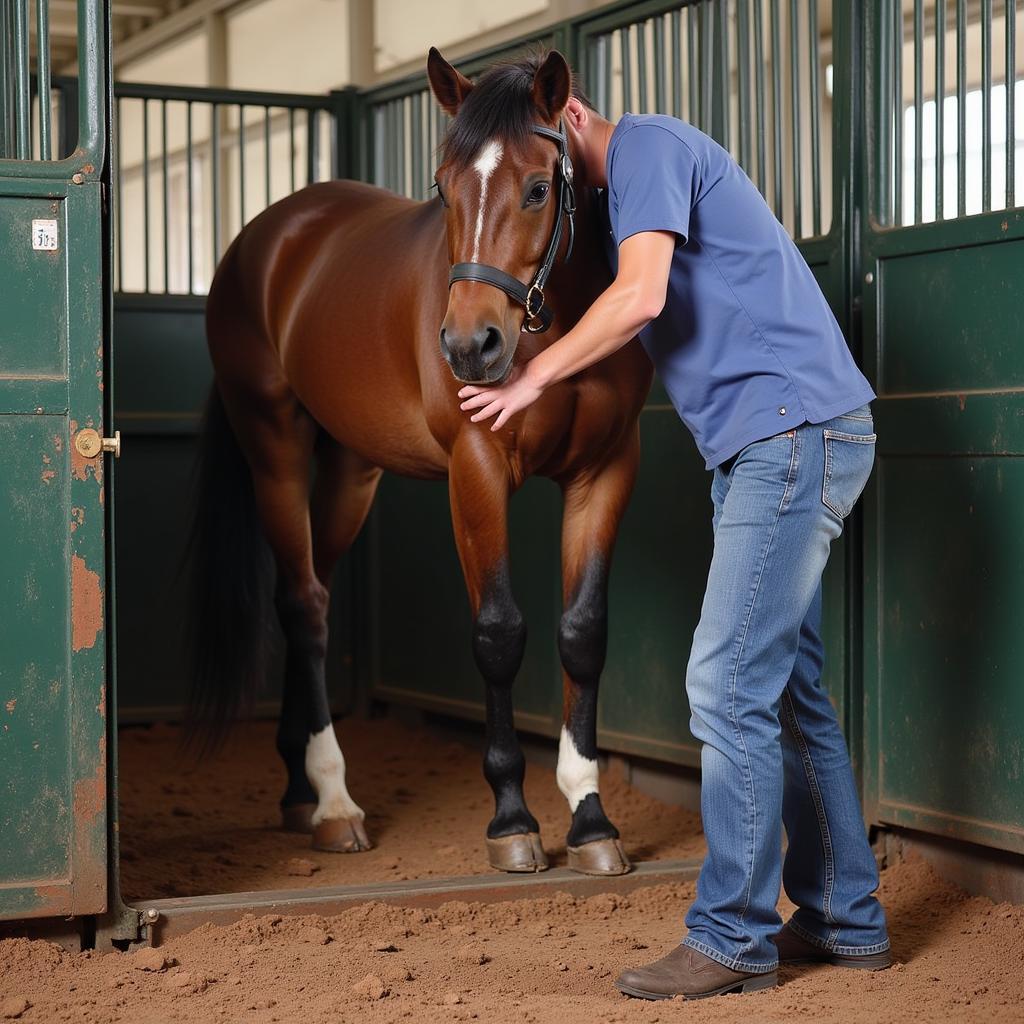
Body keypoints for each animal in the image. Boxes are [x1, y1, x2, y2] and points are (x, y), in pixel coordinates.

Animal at [188, 48, 651, 876]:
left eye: (539, 188)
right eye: (442, 187)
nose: (470, 346)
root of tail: (264, 239)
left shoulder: (605, 472)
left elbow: (583, 633)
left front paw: (592, 819)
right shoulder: (476, 471)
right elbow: (499, 633)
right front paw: (512, 819)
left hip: (350, 476)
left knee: (307, 595)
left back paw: (299, 788)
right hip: (274, 449)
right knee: (304, 607)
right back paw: (335, 802)